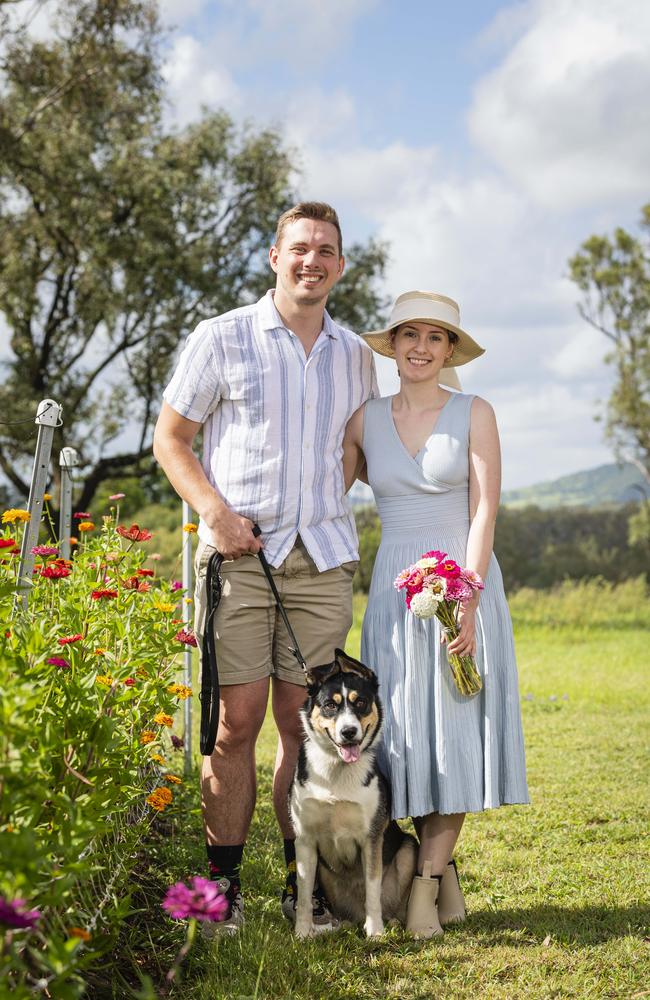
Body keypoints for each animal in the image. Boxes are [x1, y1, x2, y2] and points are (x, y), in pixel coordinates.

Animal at [288, 648, 416, 936]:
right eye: (330, 705)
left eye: (361, 703)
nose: (349, 732)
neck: (336, 771)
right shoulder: (305, 839)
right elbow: (304, 895)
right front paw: (302, 933)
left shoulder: (371, 838)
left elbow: (372, 890)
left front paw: (375, 932)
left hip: (408, 848)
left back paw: (390, 922)